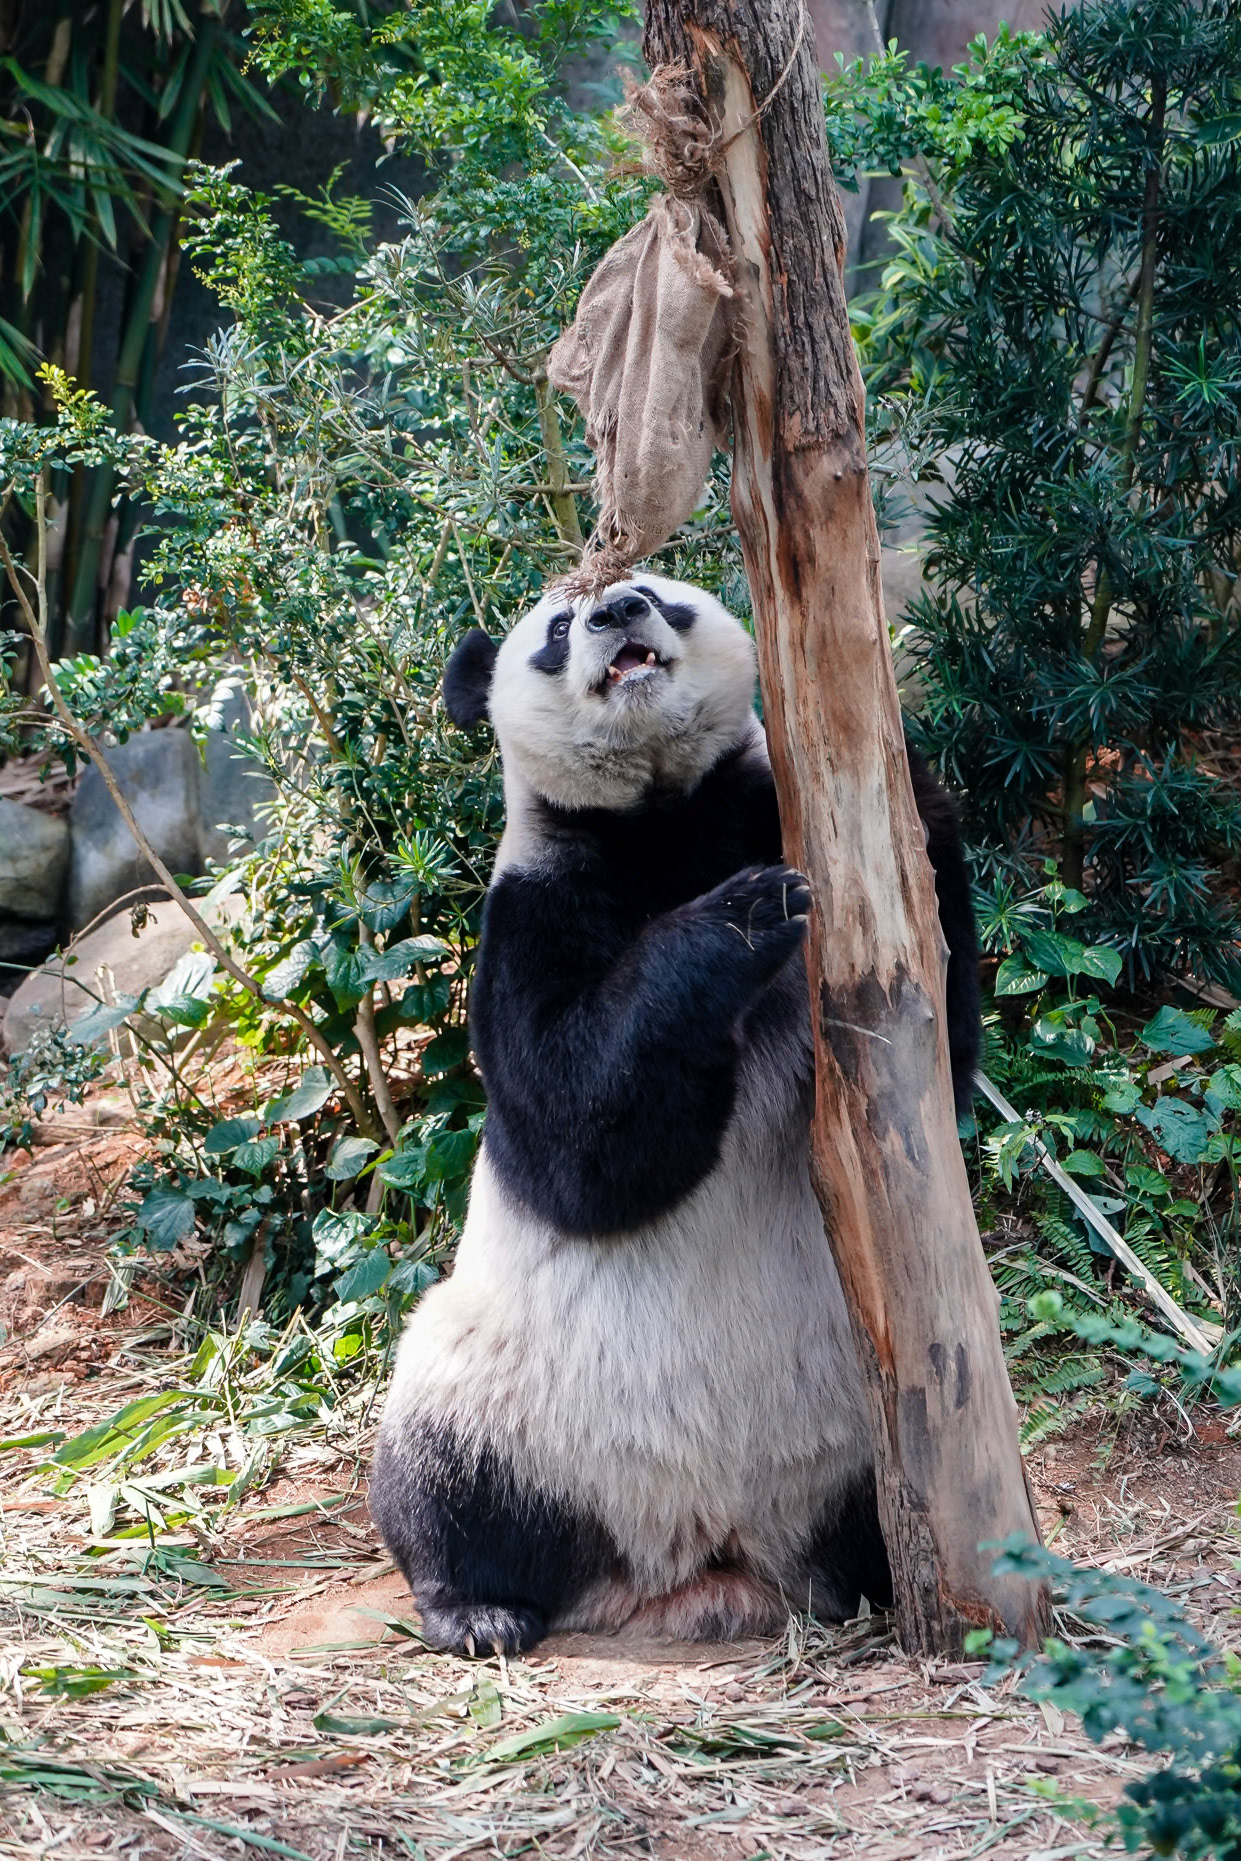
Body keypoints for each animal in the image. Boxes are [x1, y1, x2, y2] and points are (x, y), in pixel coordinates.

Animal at [370, 573, 980, 1657]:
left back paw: (872, 1577)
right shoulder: (528, 914)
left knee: (869, 1506)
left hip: (852, 1417)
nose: (615, 611)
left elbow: (937, 1046)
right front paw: (741, 916)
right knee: (436, 1475)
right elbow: (578, 1140)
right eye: (555, 628)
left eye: (654, 591)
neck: (661, 819)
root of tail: (695, 1562)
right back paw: (475, 1607)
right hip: (504, 1404)